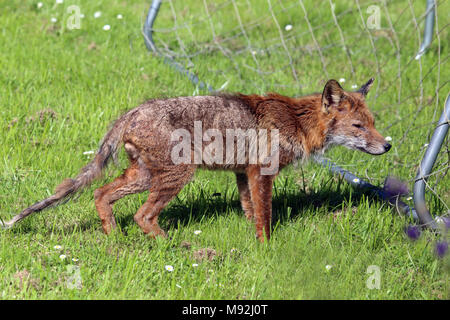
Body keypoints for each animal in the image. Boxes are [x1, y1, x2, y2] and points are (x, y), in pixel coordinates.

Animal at [1, 79, 390, 241]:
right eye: (359, 127)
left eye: (373, 123)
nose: (386, 145)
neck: (296, 120)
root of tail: (132, 111)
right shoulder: (261, 173)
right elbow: (264, 217)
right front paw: (267, 248)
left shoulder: (243, 173)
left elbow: (250, 211)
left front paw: (254, 242)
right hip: (176, 176)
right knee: (142, 215)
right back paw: (171, 245)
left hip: (144, 176)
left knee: (101, 195)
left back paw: (115, 239)